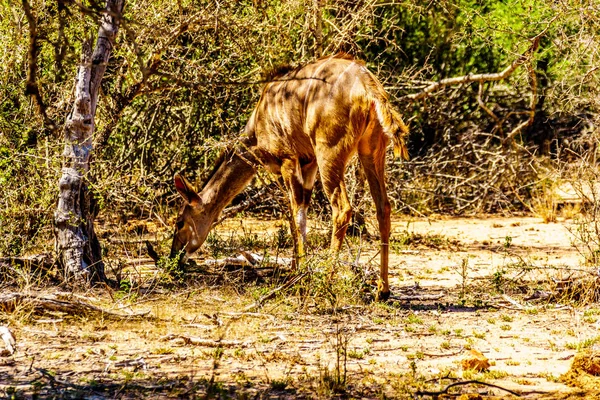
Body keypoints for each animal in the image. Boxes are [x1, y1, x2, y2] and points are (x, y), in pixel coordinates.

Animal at [171, 54, 410, 302]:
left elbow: (295, 216)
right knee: (383, 207)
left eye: (179, 222)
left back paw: (326, 283)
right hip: (371, 152)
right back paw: (382, 290)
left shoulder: (288, 161)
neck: (256, 127)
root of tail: (368, 89)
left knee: (342, 209)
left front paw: (299, 275)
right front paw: (298, 271)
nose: (174, 256)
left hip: (330, 154)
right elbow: (300, 212)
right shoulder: (308, 163)